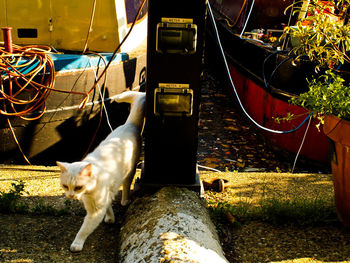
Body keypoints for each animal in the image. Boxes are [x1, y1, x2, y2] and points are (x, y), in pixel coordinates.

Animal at [56, 91, 144, 254]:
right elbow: (108, 206)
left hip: (130, 171)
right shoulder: (102, 198)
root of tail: (129, 124)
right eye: (65, 186)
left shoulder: (95, 211)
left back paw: (125, 200)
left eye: (78, 187)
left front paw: (77, 244)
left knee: (127, 185)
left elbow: (84, 229)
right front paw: (110, 218)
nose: (70, 196)